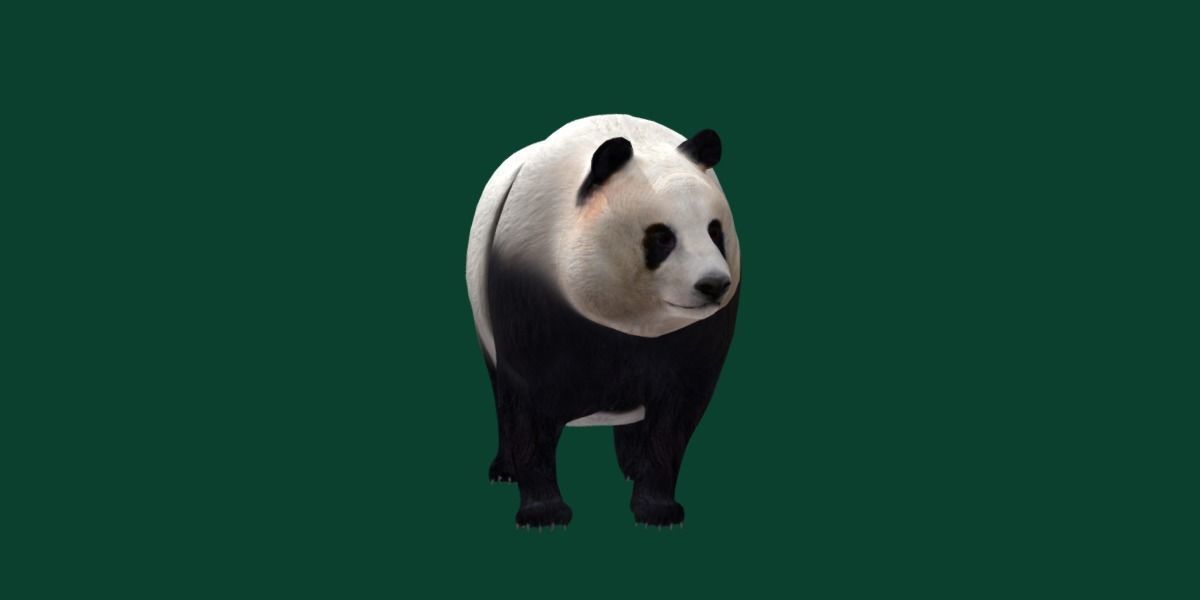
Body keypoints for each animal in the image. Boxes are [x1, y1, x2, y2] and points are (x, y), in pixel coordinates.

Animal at [465, 114, 741, 529]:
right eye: (662, 237)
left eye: (715, 231)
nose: (713, 284)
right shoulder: (525, 280)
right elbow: (528, 401)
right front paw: (544, 513)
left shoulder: (698, 334)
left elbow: (677, 411)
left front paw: (657, 508)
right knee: (501, 392)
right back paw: (504, 470)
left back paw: (631, 465)